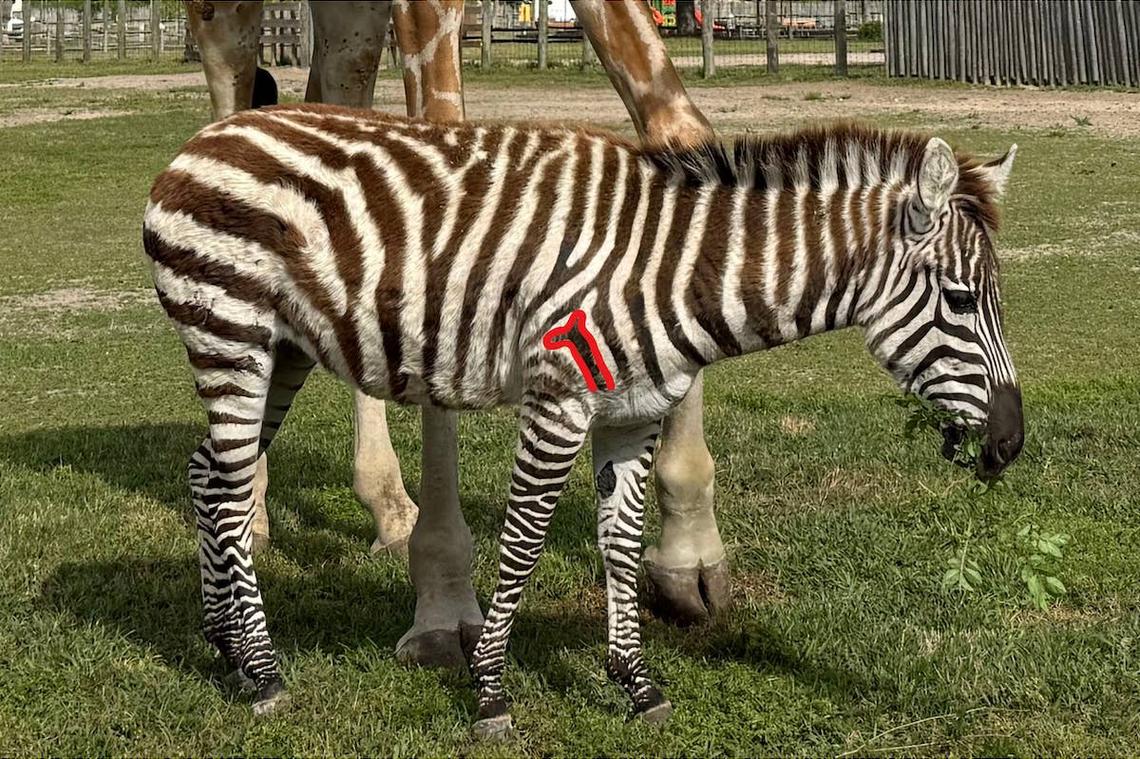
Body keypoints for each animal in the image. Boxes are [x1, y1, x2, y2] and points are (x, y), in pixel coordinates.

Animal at [142, 104, 1024, 728]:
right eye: (959, 299)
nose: (1010, 445)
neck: (678, 270)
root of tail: (208, 135)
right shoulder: (560, 398)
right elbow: (526, 539)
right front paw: (490, 690)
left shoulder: (631, 415)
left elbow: (621, 545)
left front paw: (636, 683)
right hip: (231, 332)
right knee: (227, 486)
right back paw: (263, 670)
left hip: (281, 350)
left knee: (207, 473)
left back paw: (225, 645)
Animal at [182, 0, 729, 678]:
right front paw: (442, 609)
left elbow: (682, 134)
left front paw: (690, 556)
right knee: (232, 95)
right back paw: (252, 514)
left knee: (336, 106)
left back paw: (389, 510)